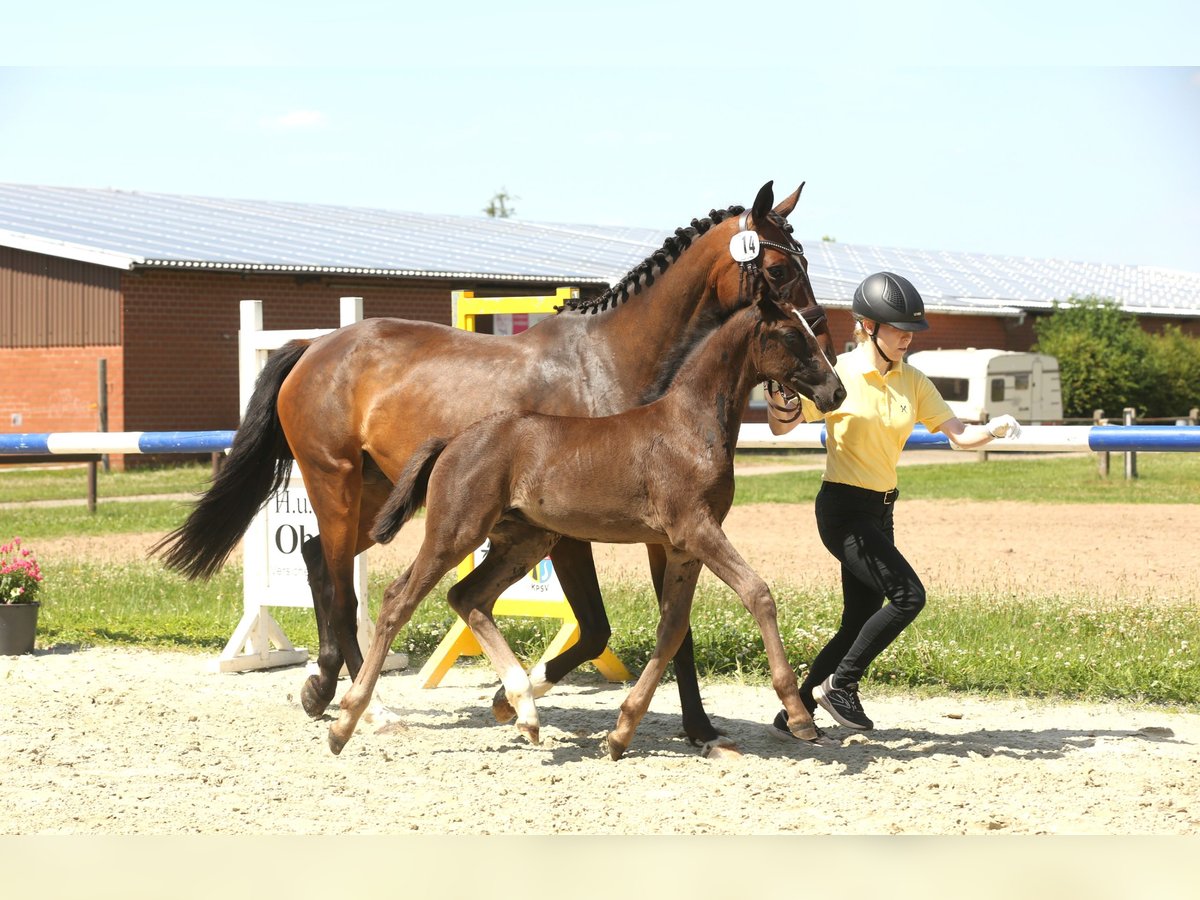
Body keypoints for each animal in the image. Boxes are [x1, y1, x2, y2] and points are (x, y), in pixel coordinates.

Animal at [152, 181, 835, 753]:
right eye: (780, 268)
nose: (829, 358)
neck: (614, 362)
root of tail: (313, 345)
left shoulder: (659, 531)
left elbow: (671, 628)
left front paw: (699, 729)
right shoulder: (584, 532)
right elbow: (596, 628)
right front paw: (516, 700)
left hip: (378, 494)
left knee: (321, 559)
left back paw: (322, 688)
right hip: (338, 483)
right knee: (346, 586)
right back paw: (367, 711)